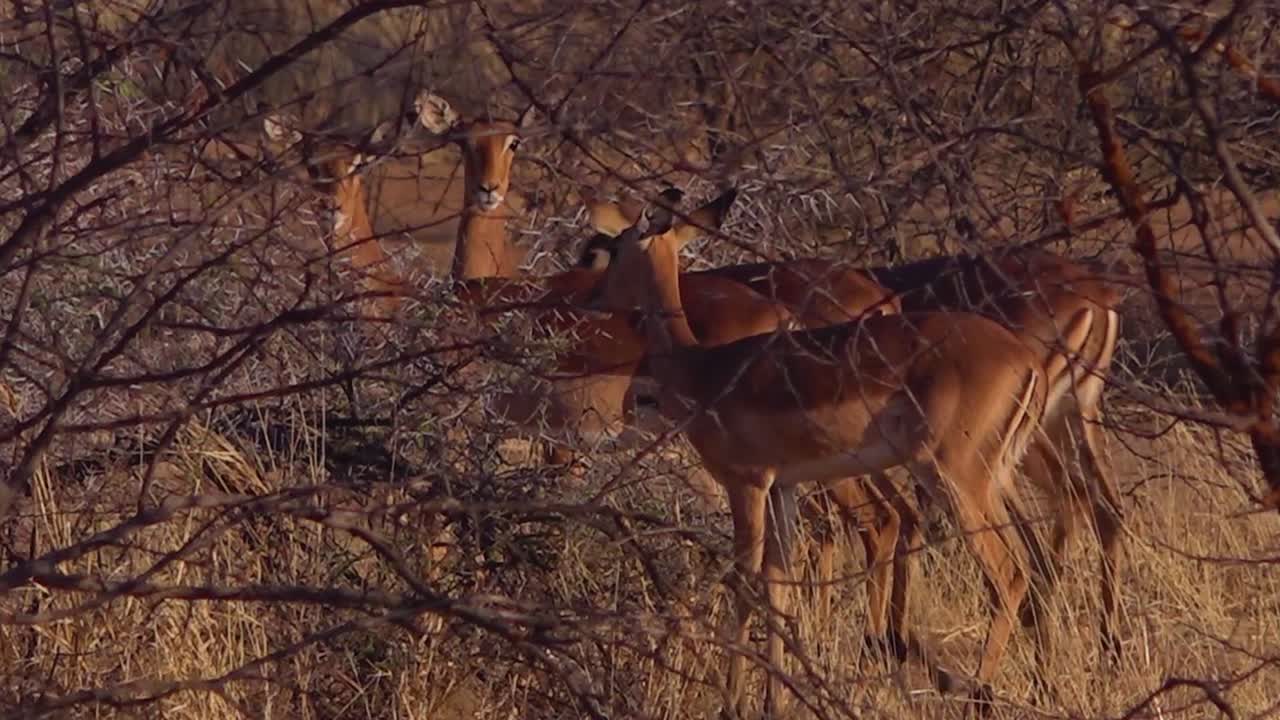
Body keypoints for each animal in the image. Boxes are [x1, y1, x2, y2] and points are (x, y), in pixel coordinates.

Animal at [588, 192, 1092, 716]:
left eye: (615, 247)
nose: (594, 299)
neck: (702, 368)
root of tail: (1029, 362)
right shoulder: (783, 487)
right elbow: (778, 583)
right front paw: (773, 700)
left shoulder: (746, 483)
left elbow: (745, 582)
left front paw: (733, 702)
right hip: (990, 480)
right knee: (1031, 561)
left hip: (953, 477)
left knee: (1008, 573)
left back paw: (975, 693)